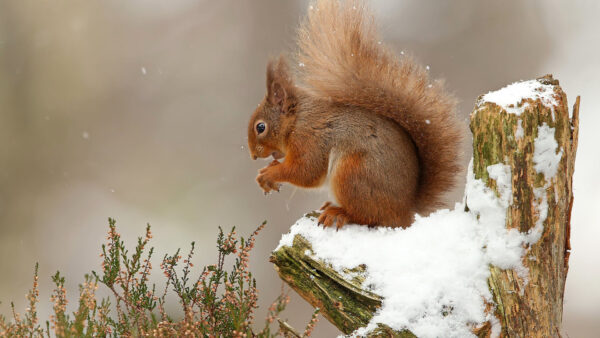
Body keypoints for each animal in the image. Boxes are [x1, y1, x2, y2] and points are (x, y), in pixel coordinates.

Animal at [246, 0, 462, 230]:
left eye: (261, 127)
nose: (253, 156)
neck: (297, 121)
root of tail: (405, 211)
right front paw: (268, 171)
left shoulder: (310, 140)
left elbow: (305, 172)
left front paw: (270, 173)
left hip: (352, 174)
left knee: (367, 216)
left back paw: (339, 213)